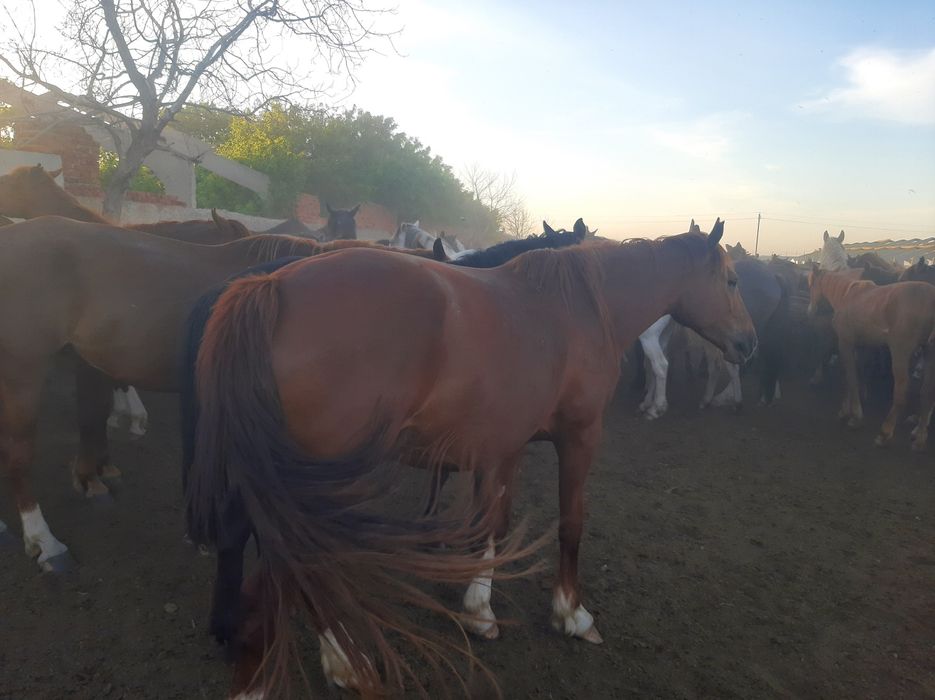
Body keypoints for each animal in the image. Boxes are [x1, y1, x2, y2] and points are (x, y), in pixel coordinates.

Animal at [185, 218, 756, 696]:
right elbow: (571, 523)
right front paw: (570, 614)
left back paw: (326, 657)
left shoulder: (504, 446)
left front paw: (479, 610)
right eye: (731, 280)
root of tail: (271, 289)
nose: (749, 343)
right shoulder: (578, 437)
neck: (582, 309)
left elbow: (492, 522)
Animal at [807, 265, 935, 449]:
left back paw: (885, 433)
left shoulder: (845, 343)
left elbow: (850, 377)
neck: (847, 295)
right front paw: (847, 410)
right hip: (929, 353)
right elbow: (856, 374)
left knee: (901, 390)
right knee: (927, 392)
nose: (810, 311)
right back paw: (919, 436)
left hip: (900, 352)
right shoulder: (863, 347)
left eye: (811, 285)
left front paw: (854, 416)